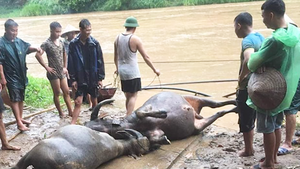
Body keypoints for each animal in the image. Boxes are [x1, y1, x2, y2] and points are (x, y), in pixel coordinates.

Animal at [12, 124, 150, 169]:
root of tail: (33, 158)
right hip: (28, 154)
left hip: (31, 153)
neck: (119, 146)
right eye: (140, 145)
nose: (147, 148)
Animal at [85, 91, 237, 145]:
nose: (86, 127)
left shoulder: (144, 108)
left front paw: (163, 113)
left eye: (98, 121)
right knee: (219, 112)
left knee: (216, 104)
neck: (133, 125)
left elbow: (141, 112)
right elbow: (155, 137)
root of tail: (195, 112)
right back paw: (235, 108)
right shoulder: (153, 132)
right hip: (199, 125)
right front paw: (165, 139)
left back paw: (235, 102)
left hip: (195, 98)